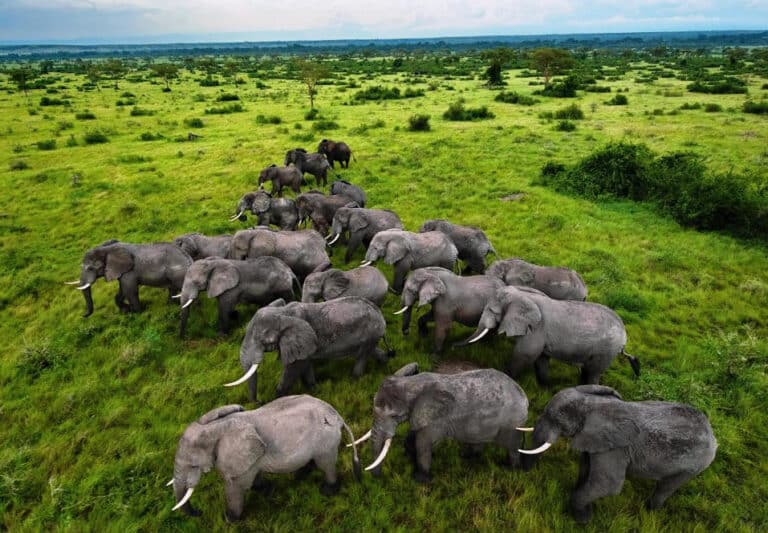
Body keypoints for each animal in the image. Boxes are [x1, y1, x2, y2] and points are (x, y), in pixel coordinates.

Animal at [167, 396, 361, 521]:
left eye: (193, 465)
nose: (200, 513)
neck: (215, 427)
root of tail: (337, 415)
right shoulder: (250, 457)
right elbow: (253, 477)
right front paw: (267, 491)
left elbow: (235, 486)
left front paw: (229, 520)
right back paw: (299, 476)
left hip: (325, 440)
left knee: (325, 464)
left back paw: (327, 491)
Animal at [227, 297, 393, 402]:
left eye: (264, 341)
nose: (259, 401)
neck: (283, 311)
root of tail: (379, 312)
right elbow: (305, 363)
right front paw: (313, 389)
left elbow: (294, 367)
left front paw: (277, 399)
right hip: (372, 334)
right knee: (370, 350)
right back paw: (384, 363)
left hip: (371, 330)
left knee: (362, 355)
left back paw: (354, 379)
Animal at [361, 363, 529, 483]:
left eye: (394, 416)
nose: (380, 480)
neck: (411, 383)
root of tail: (523, 395)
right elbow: (413, 436)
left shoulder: (437, 419)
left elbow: (423, 443)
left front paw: (420, 480)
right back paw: (468, 457)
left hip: (512, 422)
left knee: (512, 446)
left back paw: (512, 470)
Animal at [459, 286, 640, 386]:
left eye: (492, 311)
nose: (455, 345)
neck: (523, 295)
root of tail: (624, 336)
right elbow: (541, 359)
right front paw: (544, 386)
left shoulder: (537, 329)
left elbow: (524, 354)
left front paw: (507, 377)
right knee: (587, 370)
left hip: (606, 350)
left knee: (593, 372)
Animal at [518, 385, 717, 524]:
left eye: (556, 420)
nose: (526, 473)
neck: (594, 405)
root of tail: (713, 435)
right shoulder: (596, 441)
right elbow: (586, 469)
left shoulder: (616, 448)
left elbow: (608, 484)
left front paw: (582, 520)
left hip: (696, 463)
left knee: (667, 486)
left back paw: (650, 510)